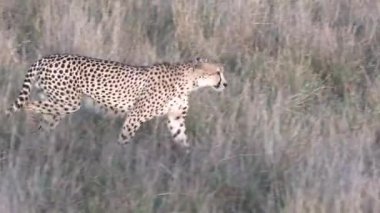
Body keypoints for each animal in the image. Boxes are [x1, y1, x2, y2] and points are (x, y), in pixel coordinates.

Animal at [5, 54, 227, 149]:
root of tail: (46, 57)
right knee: (28, 106)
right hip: (67, 102)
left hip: (56, 105)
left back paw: (39, 144)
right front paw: (121, 157)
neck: (189, 82)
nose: (225, 84)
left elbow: (182, 140)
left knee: (43, 121)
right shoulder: (136, 115)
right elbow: (125, 138)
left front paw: (190, 159)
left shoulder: (175, 118)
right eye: (217, 72)